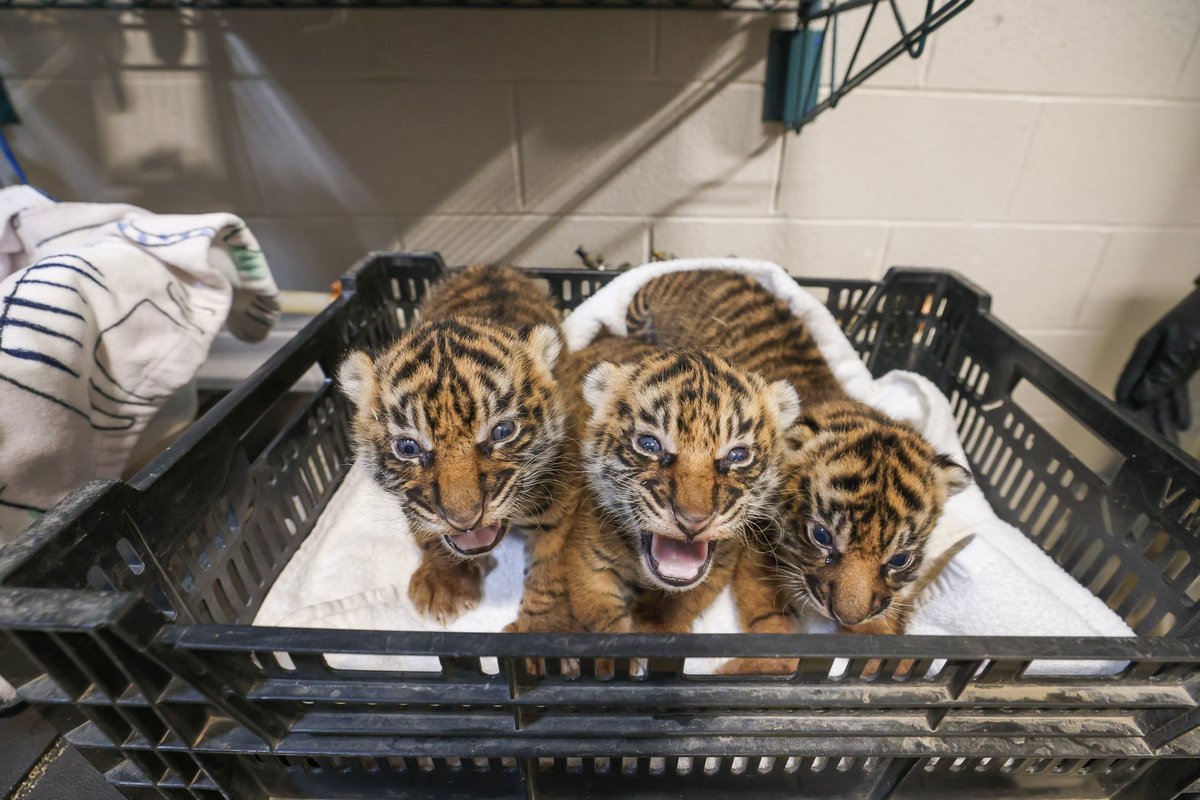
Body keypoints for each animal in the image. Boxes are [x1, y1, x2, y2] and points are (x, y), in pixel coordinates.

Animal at [338, 264, 574, 623]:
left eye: (502, 431)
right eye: (408, 448)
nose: (464, 519)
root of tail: (490, 265)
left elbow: (553, 564)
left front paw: (546, 624)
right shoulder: (412, 501)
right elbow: (427, 531)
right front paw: (444, 585)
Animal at [507, 335, 801, 637]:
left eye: (738, 455)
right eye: (649, 444)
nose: (692, 521)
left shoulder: (723, 562)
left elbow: (684, 599)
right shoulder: (585, 558)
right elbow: (600, 615)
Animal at [626, 270, 971, 650]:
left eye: (900, 559)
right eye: (821, 536)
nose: (846, 617)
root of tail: (678, 273)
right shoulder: (755, 544)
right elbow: (763, 602)